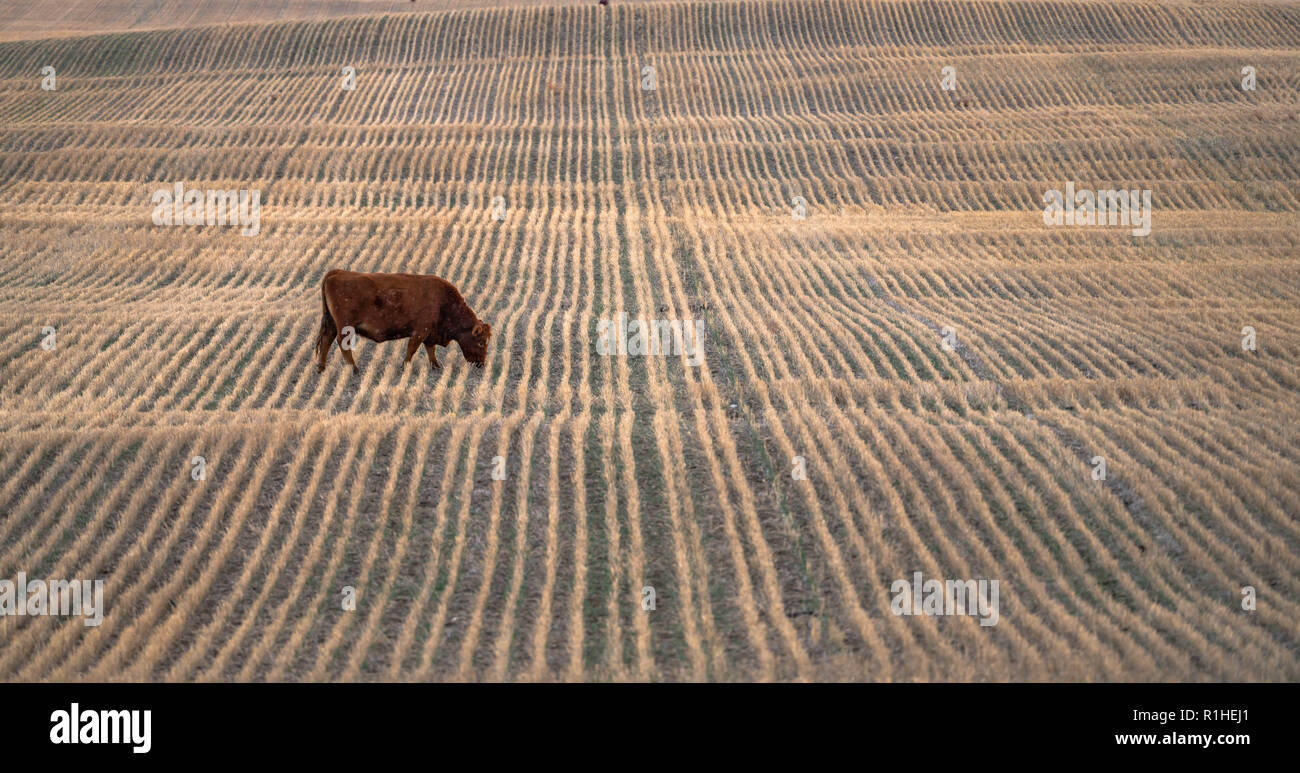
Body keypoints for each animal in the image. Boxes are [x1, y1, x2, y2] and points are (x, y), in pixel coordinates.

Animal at [316, 269, 491, 374]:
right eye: (481, 342)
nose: (481, 364)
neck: (442, 302)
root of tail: (337, 273)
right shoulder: (420, 332)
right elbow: (412, 349)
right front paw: (404, 366)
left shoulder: (429, 334)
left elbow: (430, 350)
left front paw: (435, 366)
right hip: (345, 327)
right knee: (341, 343)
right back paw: (354, 369)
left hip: (332, 324)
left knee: (326, 340)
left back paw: (321, 368)